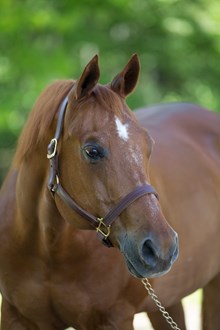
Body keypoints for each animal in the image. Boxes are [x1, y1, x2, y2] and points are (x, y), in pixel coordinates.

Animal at [0, 54, 219, 330]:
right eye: (92, 151)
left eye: (149, 146)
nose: (162, 247)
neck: (45, 247)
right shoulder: (14, 315)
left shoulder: (113, 319)